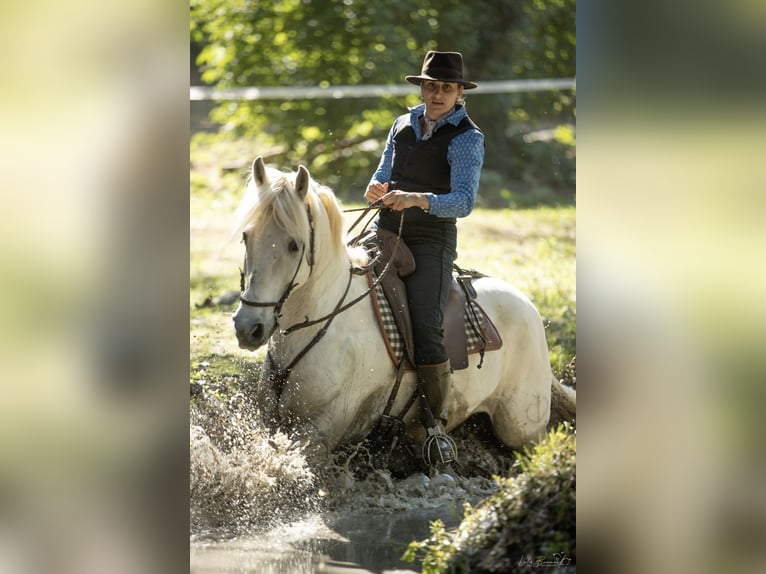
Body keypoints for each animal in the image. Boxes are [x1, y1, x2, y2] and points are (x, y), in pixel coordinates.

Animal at [232, 156, 575, 460]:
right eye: (246, 237)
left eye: (294, 244)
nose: (249, 327)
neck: (321, 320)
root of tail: (528, 305)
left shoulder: (320, 429)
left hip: (522, 428)